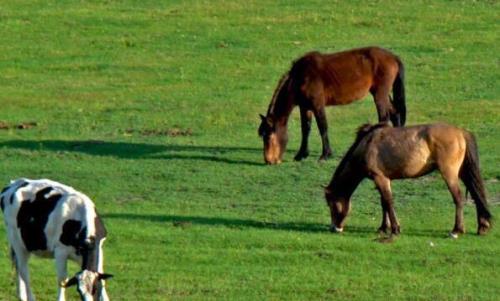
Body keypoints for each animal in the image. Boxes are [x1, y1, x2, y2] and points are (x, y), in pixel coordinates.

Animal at [258, 46, 406, 164]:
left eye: (268, 136)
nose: (268, 160)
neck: (301, 77)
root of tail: (393, 57)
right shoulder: (305, 107)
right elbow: (305, 129)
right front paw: (301, 154)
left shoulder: (317, 105)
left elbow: (322, 127)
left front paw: (325, 155)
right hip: (380, 93)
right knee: (395, 113)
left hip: (380, 95)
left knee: (384, 117)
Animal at [324, 122, 492, 237]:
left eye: (332, 205)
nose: (334, 228)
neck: (367, 145)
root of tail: (461, 132)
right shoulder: (384, 179)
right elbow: (384, 202)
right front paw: (383, 227)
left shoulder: (380, 178)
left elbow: (388, 201)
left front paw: (395, 228)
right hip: (463, 172)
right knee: (477, 194)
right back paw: (482, 226)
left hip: (449, 174)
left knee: (458, 198)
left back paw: (456, 230)